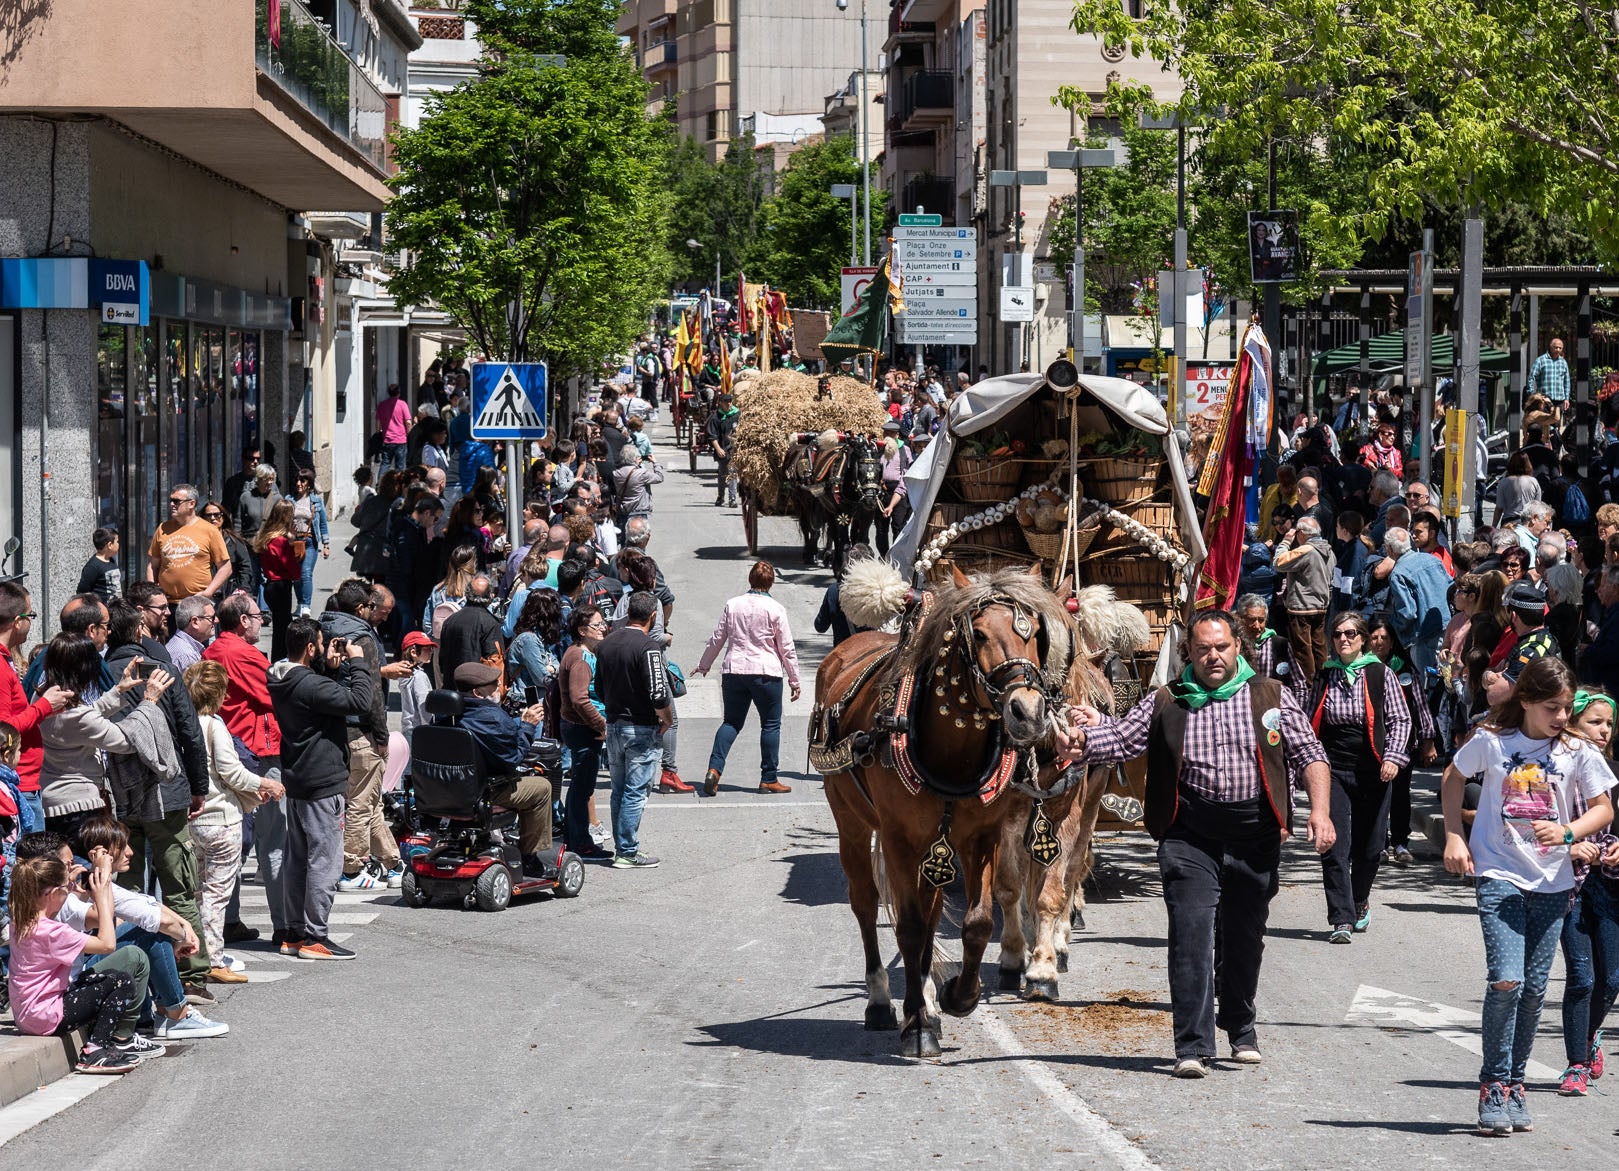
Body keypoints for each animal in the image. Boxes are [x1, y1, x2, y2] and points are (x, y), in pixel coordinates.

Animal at [809, 563, 1075, 1056]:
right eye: (981, 634)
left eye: (1034, 634)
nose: (1028, 713)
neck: (950, 749)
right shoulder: (898, 839)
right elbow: (910, 928)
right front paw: (917, 1025)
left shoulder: (981, 837)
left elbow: (976, 923)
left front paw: (957, 998)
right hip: (852, 823)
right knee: (866, 904)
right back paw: (881, 1001)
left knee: (932, 913)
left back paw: (930, 1000)